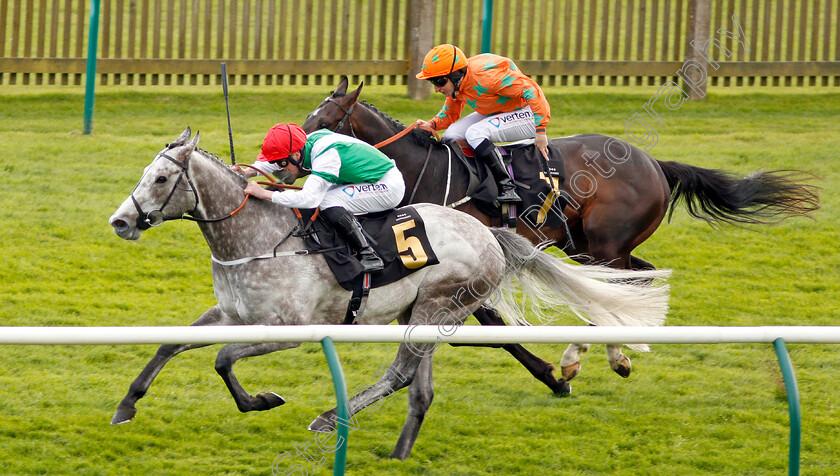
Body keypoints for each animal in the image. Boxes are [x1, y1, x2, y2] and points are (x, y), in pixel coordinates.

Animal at [106, 128, 668, 460]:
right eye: (145, 175)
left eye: (161, 178)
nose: (121, 222)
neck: (257, 239)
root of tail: (490, 235)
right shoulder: (231, 312)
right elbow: (173, 344)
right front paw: (127, 406)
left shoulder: (292, 329)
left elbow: (223, 359)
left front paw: (263, 399)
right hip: (422, 313)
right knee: (419, 387)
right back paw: (399, 451)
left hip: (440, 303)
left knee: (400, 374)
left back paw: (331, 417)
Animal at [302, 76, 820, 386]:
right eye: (309, 118)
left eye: (325, 121)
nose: (291, 157)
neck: (420, 168)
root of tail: (654, 163)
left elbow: (493, 325)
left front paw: (553, 375)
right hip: (589, 246)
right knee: (637, 277)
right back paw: (624, 346)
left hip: (606, 244)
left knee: (614, 286)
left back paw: (586, 354)